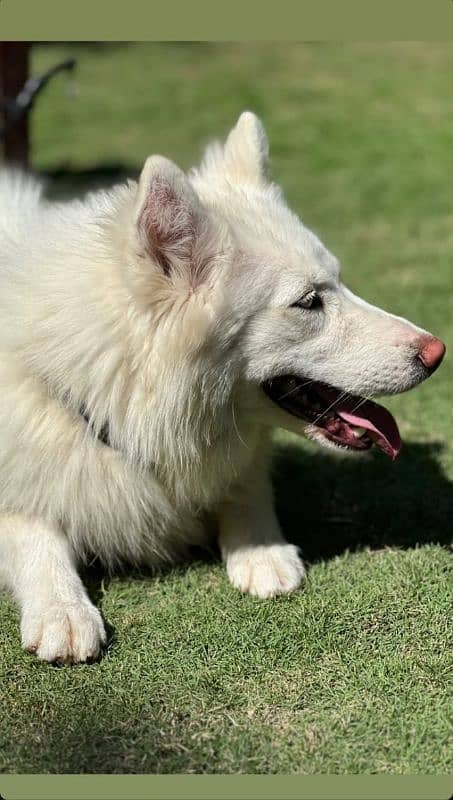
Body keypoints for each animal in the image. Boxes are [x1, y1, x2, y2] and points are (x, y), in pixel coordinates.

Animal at [0, 112, 444, 664]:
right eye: (309, 302)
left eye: (340, 283)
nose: (437, 352)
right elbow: (30, 528)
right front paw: (62, 607)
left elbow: (244, 485)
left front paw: (260, 549)